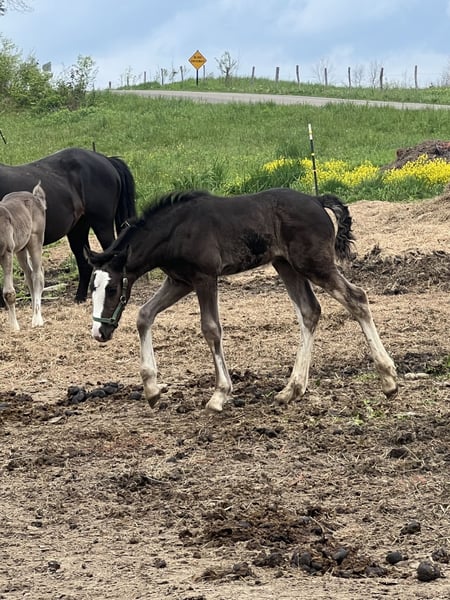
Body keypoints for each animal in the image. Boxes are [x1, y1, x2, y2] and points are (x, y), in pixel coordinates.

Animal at [0, 181, 47, 331]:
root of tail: (35, 197)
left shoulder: (6, 252)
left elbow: (9, 293)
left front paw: (14, 328)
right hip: (20, 248)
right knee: (29, 274)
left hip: (35, 240)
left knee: (37, 275)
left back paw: (37, 319)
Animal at [85, 187, 398, 412]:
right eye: (92, 288)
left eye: (111, 289)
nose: (99, 332)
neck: (175, 230)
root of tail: (316, 200)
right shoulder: (179, 281)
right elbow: (144, 315)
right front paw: (152, 389)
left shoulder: (205, 278)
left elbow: (211, 329)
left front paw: (219, 395)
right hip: (285, 265)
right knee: (310, 311)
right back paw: (291, 390)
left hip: (313, 264)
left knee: (356, 298)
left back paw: (388, 380)